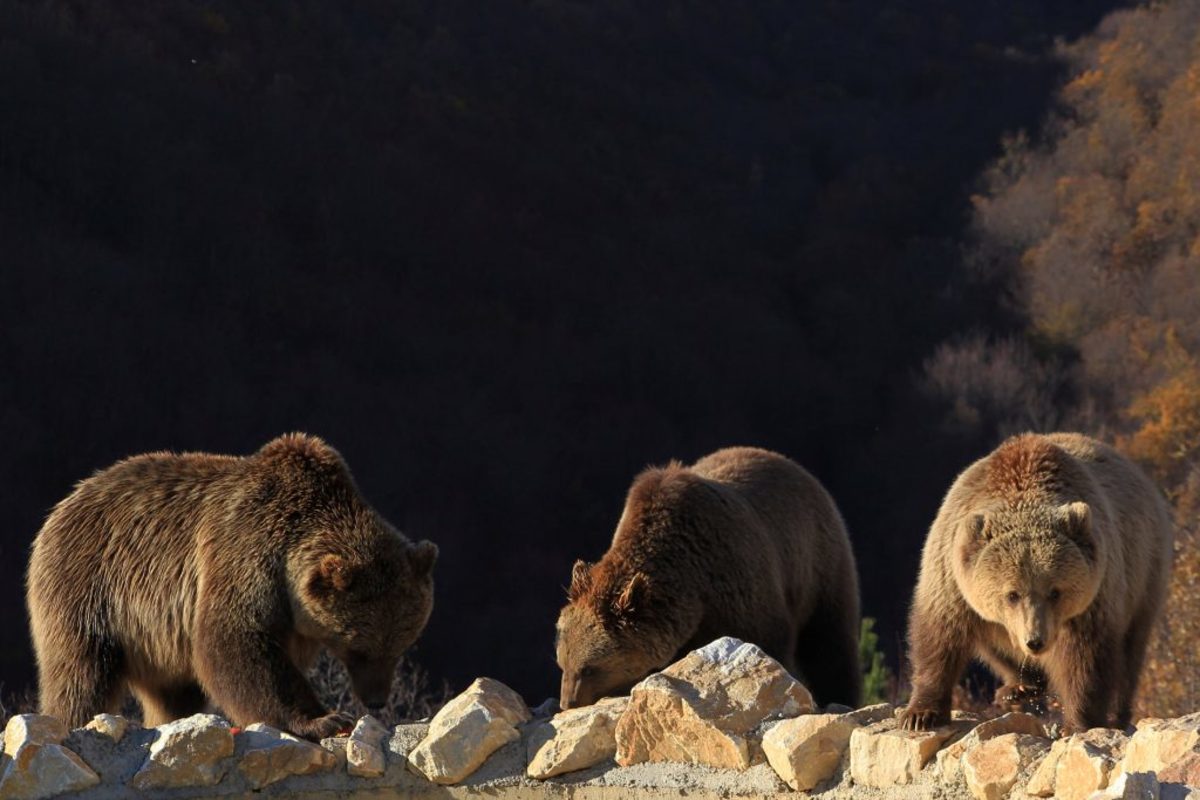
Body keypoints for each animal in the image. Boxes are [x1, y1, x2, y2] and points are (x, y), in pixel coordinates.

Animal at [27, 434, 436, 743]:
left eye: (400, 645)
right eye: (357, 648)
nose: (377, 699)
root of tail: (68, 500)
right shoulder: (245, 552)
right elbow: (235, 642)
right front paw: (324, 719)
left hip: (156, 638)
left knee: (174, 692)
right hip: (91, 587)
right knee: (81, 673)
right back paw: (71, 719)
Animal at [554, 448, 864, 710]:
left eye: (590, 668)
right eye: (562, 662)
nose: (568, 703)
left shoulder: (737, 583)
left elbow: (768, 641)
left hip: (817, 564)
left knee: (829, 642)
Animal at [902, 431, 1166, 734]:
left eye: (1055, 592)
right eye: (1012, 594)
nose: (1035, 641)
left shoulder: (1095, 595)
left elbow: (1086, 658)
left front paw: (1078, 722)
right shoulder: (952, 577)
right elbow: (939, 637)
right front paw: (920, 714)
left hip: (1143, 571)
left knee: (1130, 651)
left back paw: (1118, 715)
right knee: (994, 646)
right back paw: (1017, 689)